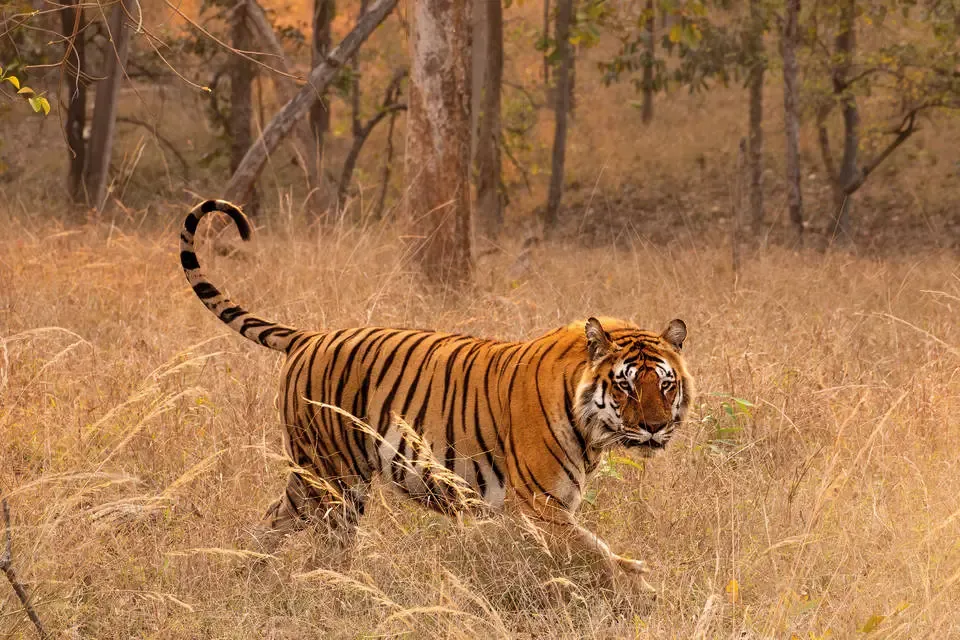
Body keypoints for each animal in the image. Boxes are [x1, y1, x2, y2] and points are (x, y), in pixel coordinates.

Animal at [180, 199, 694, 582]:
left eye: (666, 385)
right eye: (626, 386)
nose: (654, 428)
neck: (591, 427)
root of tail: (309, 336)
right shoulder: (541, 507)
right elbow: (600, 556)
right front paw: (640, 587)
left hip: (310, 475)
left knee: (272, 520)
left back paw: (249, 576)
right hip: (338, 479)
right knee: (328, 547)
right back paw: (334, 588)